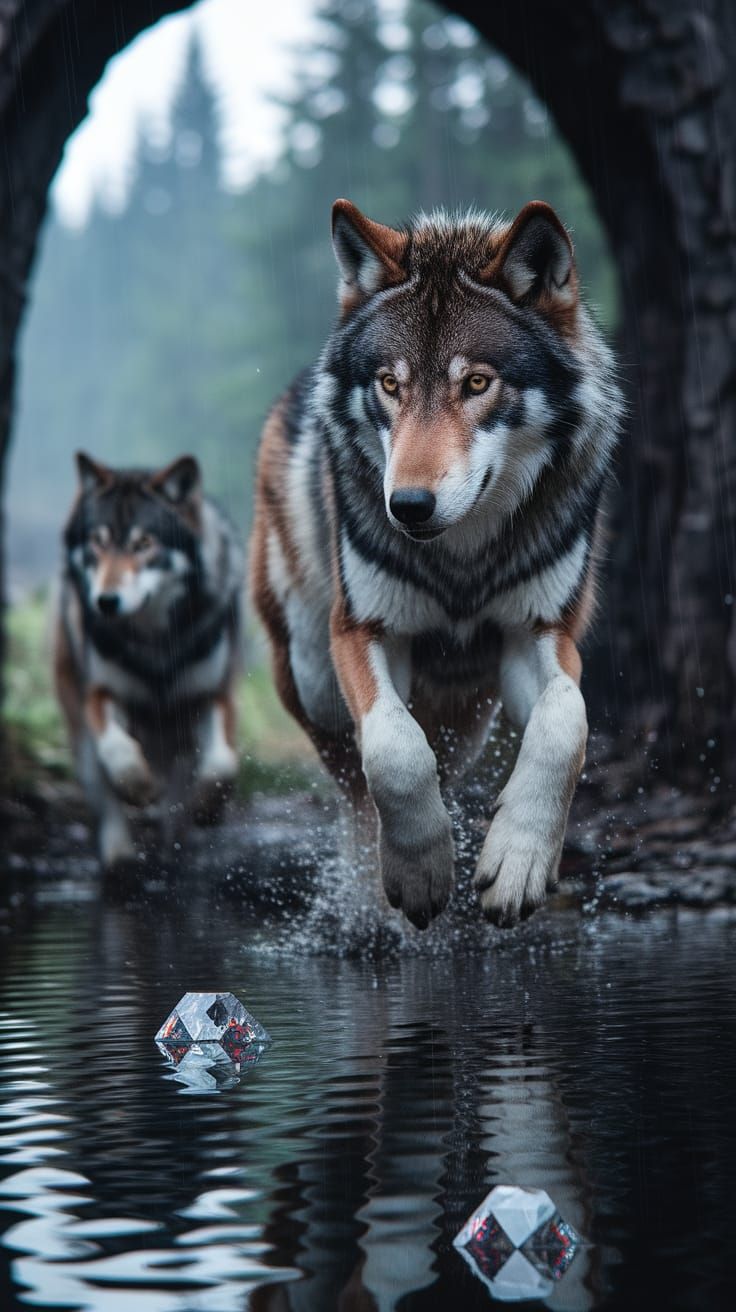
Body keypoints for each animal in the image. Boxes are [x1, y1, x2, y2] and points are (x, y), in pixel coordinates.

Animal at [55, 453, 243, 869]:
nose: (105, 602)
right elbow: (119, 753)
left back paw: (176, 849)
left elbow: (223, 763)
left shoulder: (213, 695)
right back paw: (120, 855)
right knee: (105, 798)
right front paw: (139, 788)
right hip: (82, 741)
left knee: (178, 802)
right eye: (97, 542)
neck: (155, 643)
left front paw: (207, 806)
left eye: (143, 543)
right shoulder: (100, 693)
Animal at [251, 199, 622, 928]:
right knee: (353, 778)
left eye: (477, 382)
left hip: (471, 715)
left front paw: (518, 862)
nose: (408, 506)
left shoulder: (539, 632)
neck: (461, 564)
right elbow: (393, 749)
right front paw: (419, 873)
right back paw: (369, 897)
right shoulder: (362, 629)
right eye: (390, 384)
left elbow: (566, 721)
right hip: (312, 671)